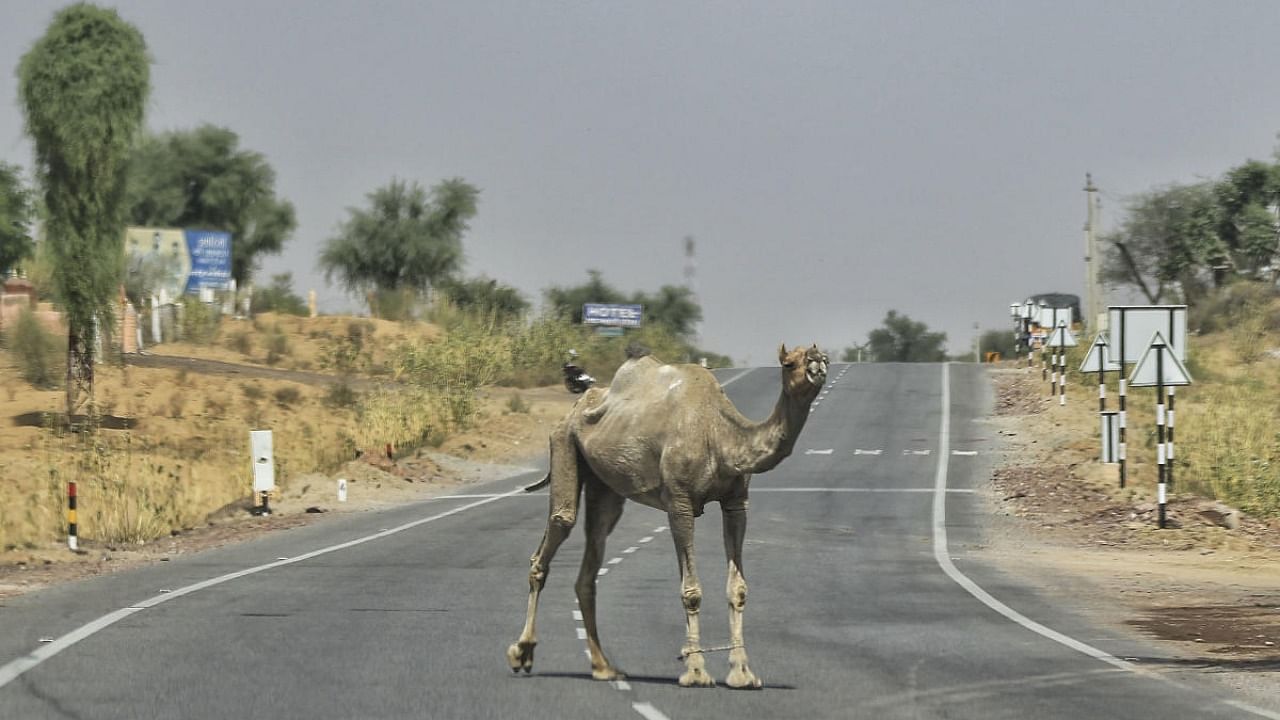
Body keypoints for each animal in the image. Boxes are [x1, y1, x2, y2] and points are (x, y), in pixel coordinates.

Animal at [504, 345, 824, 686]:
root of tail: (575, 408)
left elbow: (738, 589)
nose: (818, 362)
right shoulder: (679, 503)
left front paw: (743, 674)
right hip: (564, 443)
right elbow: (691, 590)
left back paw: (604, 667)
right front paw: (695, 672)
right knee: (558, 526)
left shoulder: (736, 502)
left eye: (821, 356)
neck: (719, 434)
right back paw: (521, 653)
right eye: (788, 363)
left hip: (604, 485)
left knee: (593, 551)